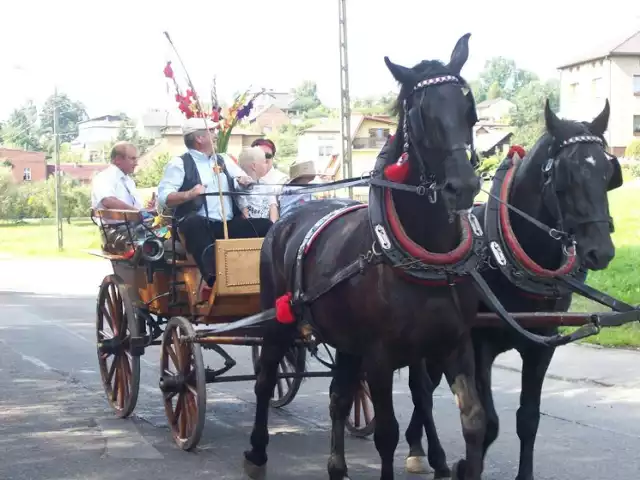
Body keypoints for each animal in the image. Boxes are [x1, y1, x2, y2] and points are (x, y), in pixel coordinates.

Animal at [246, 33, 496, 480]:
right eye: (419, 114)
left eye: (468, 108)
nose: (463, 185)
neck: (425, 259)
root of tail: (285, 219)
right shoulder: (380, 357)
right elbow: (386, 433)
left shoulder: (454, 346)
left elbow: (473, 420)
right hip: (277, 322)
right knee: (265, 379)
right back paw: (257, 453)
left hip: (346, 341)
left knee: (338, 397)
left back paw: (336, 465)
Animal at [404, 99, 620, 478]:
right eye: (566, 174)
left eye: (608, 174)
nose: (601, 251)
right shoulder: (479, 345)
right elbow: (488, 421)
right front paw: (465, 464)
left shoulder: (542, 345)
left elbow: (528, 419)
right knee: (421, 389)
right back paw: (432, 456)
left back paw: (418, 444)